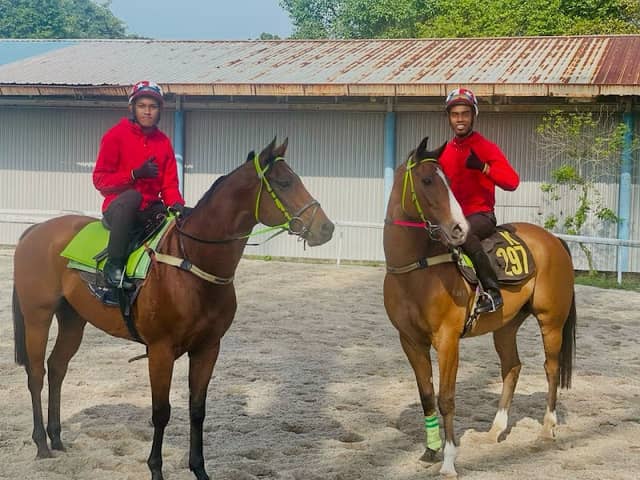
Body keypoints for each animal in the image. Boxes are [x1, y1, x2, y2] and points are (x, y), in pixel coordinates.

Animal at [12, 138, 334, 480]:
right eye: (284, 183)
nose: (326, 228)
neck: (191, 261)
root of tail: (35, 230)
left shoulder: (208, 348)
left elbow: (197, 410)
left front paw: (199, 469)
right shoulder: (160, 351)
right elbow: (161, 412)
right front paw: (156, 469)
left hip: (73, 319)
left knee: (57, 367)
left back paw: (56, 438)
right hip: (38, 316)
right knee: (37, 373)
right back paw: (41, 443)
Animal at [383, 137, 576, 477]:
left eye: (446, 180)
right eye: (427, 180)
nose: (459, 229)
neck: (416, 269)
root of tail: (553, 240)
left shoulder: (447, 341)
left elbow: (446, 399)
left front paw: (448, 461)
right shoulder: (410, 341)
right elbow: (426, 395)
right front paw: (430, 450)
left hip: (551, 321)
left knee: (550, 369)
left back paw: (546, 429)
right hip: (506, 327)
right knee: (512, 367)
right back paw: (496, 429)